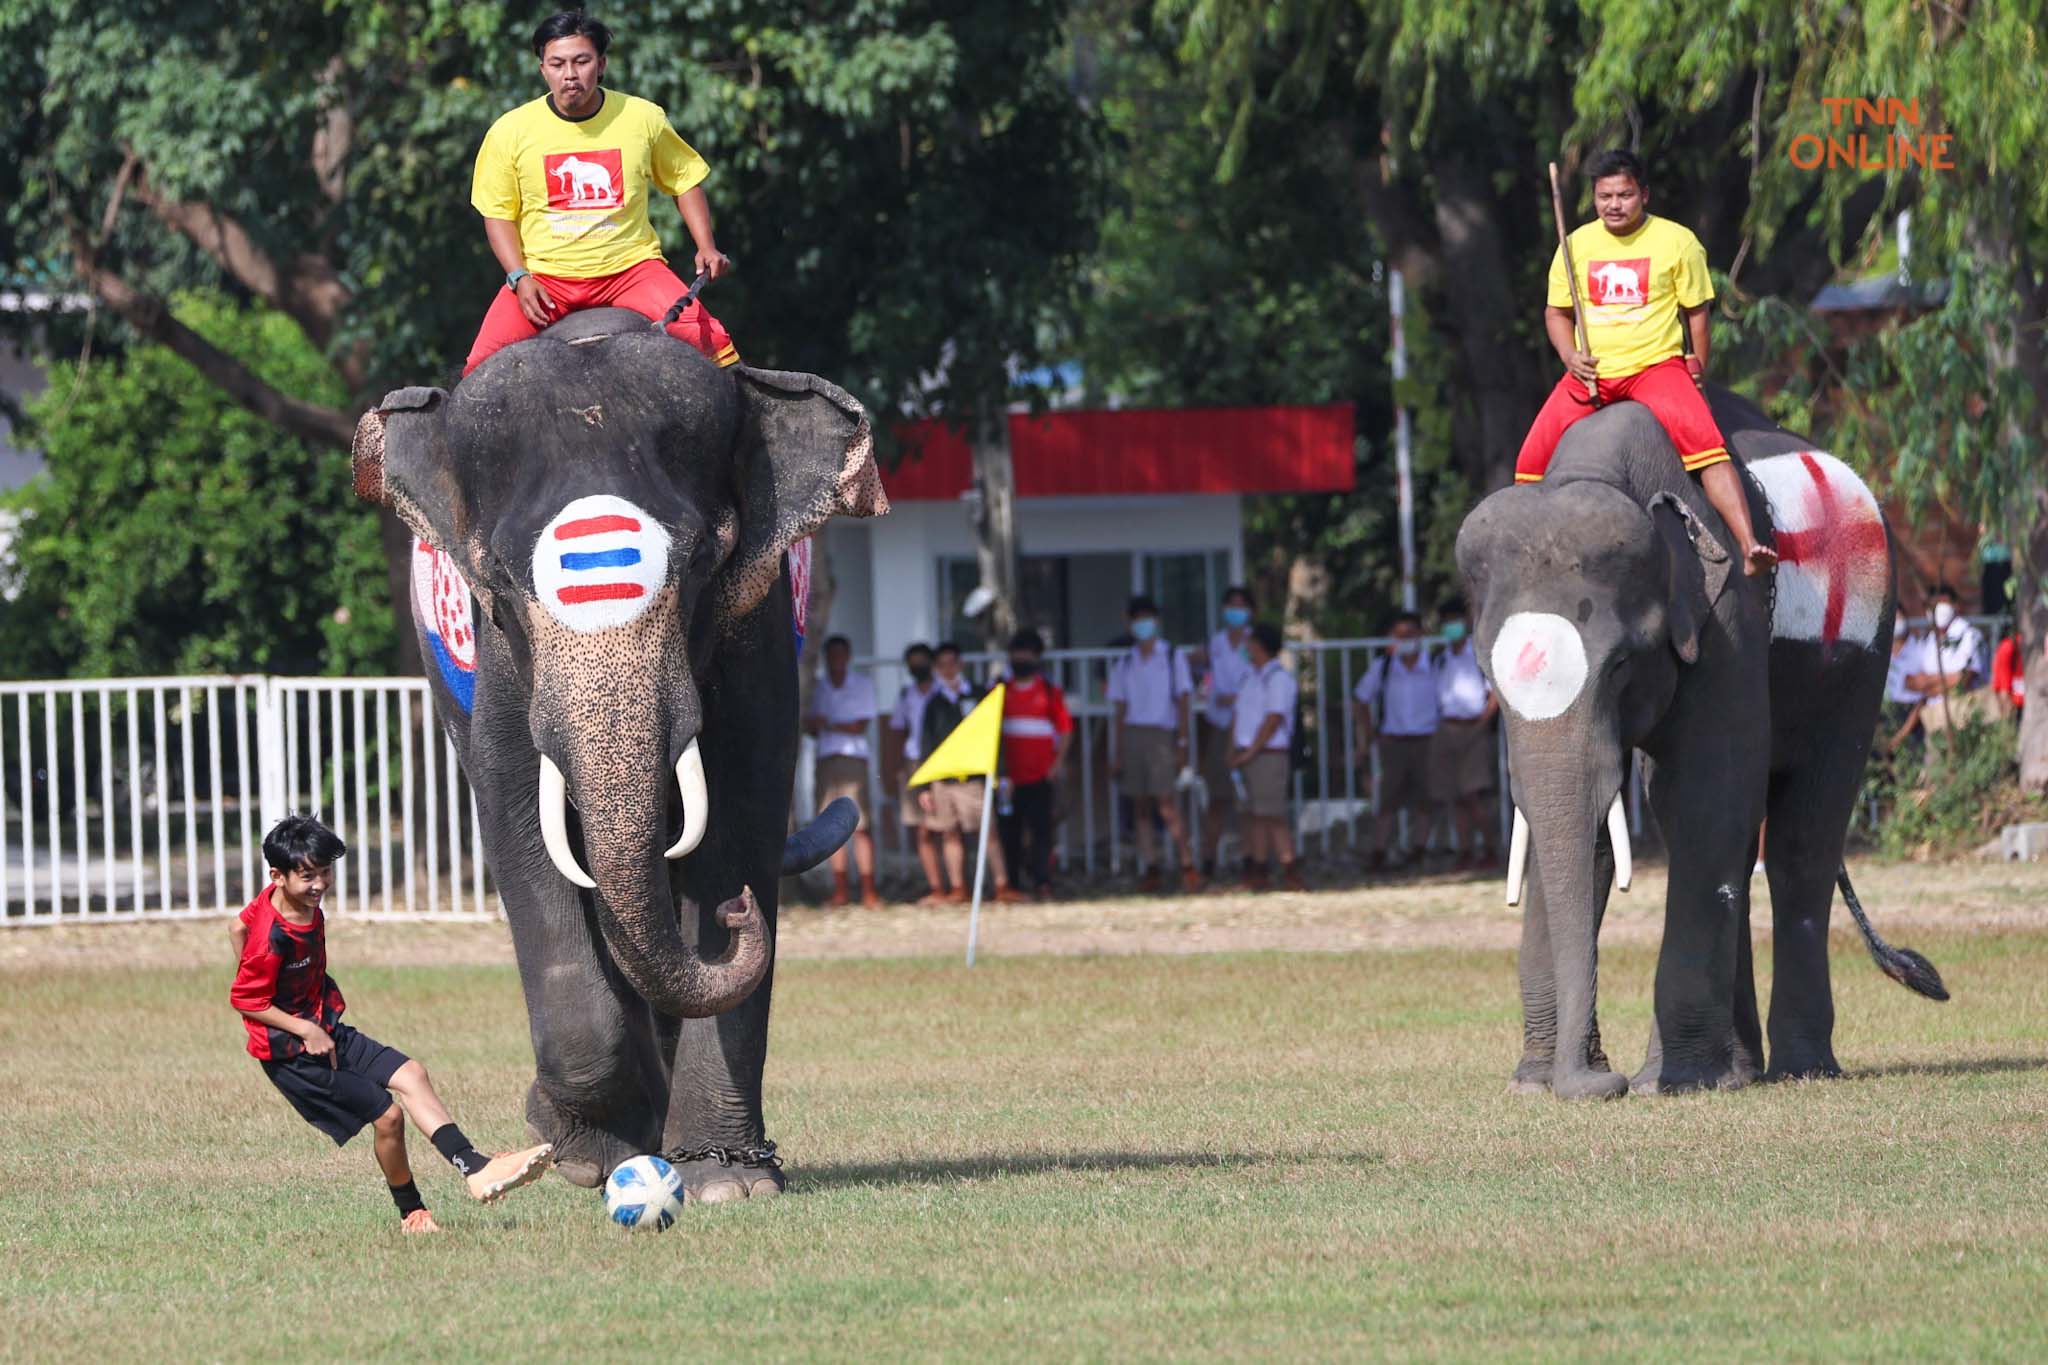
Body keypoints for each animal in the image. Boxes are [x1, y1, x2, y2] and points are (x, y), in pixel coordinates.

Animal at [346, 306, 888, 1195]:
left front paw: (727, 1180)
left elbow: (740, 809)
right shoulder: (498, 664)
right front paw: (584, 1153)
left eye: (708, 556)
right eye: (496, 577)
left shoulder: (758, 617)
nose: (743, 914)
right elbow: (517, 817)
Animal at [1449, 384, 1941, 1096]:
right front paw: (1533, 1086)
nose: (1600, 1082)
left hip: (1868, 646)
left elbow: (1708, 795)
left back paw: (1798, 1070)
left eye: (1621, 665)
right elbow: (1586, 821)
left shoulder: (1728, 614)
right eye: (1485, 675)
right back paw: (1738, 1074)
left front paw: (1667, 1083)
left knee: (1802, 838)